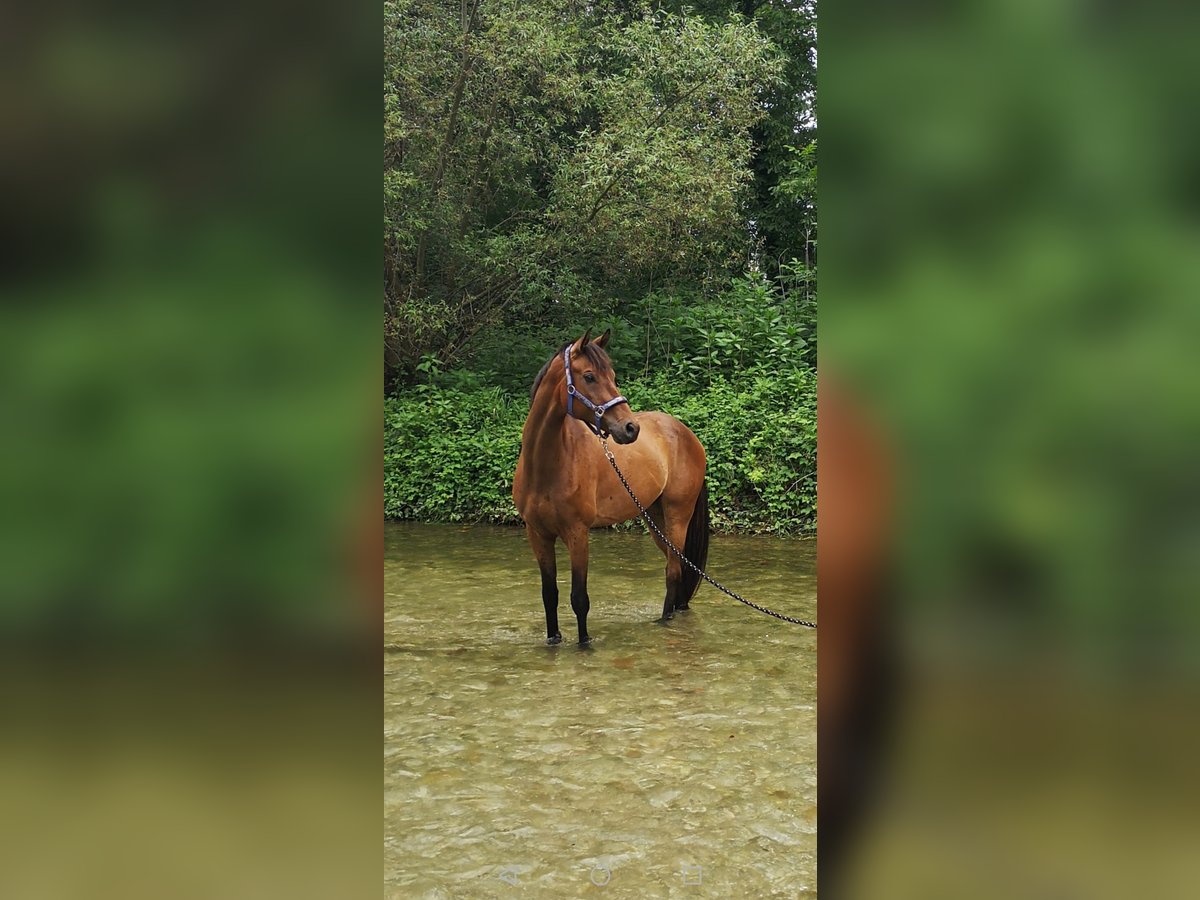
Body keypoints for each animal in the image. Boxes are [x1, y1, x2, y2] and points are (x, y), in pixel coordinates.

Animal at [508, 331, 710, 648]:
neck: (545, 465)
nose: (630, 428)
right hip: (656, 519)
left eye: (613, 376)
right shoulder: (538, 535)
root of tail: (686, 433)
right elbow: (549, 595)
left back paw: (664, 622)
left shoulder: (577, 533)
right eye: (589, 376)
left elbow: (579, 598)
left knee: (674, 571)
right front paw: (554, 640)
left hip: (678, 516)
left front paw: (585, 644)